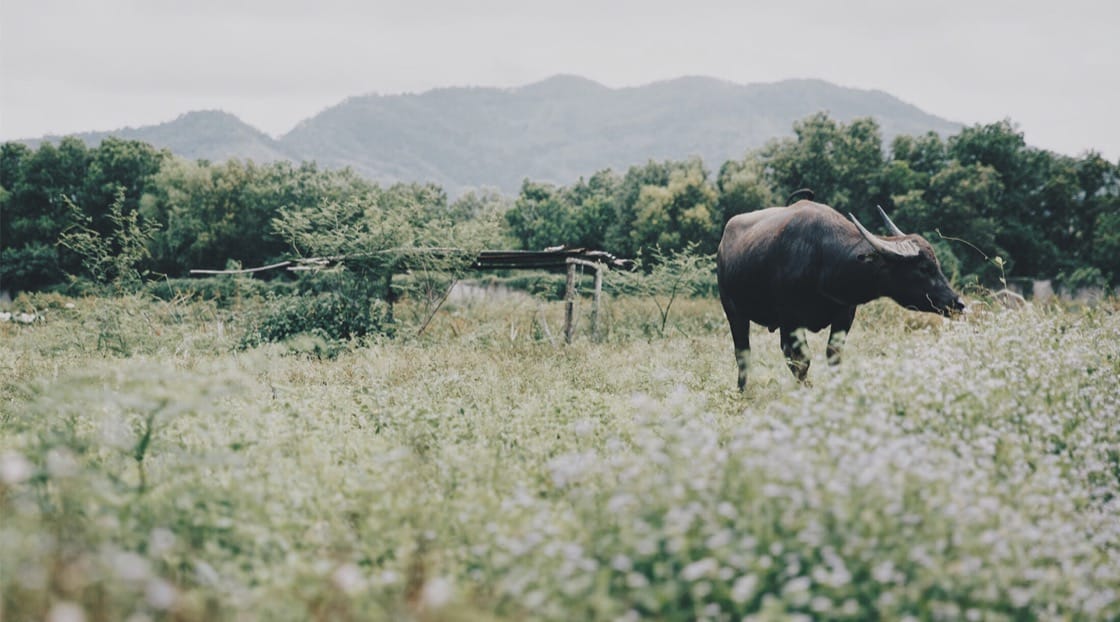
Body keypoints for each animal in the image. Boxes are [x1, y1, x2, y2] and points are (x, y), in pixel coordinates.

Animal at [716, 196, 963, 390]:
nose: (957, 303)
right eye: (923, 268)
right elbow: (800, 361)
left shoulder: (845, 314)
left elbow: (833, 355)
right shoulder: (790, 320)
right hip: (734, 312)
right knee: (743, 353)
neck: (823, 259)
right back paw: (742, 391)